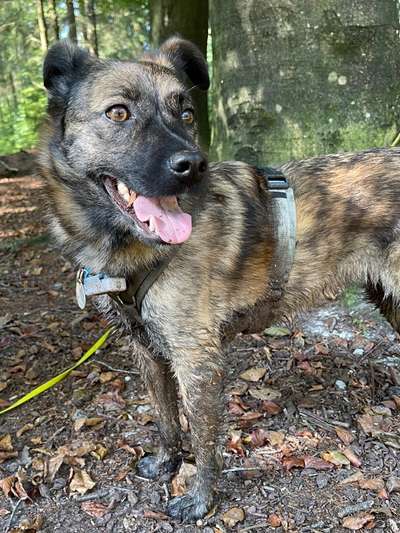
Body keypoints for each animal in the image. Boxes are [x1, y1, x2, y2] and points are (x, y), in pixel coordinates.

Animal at [39, 39, 400, 520]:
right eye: (118, 113)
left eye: (187, 113)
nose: (193, 165)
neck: (132, 247)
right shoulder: (147, 352)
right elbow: (166, 419)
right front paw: (168, 463)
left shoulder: (198, 362)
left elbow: (203, 438)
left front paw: (200, 500)